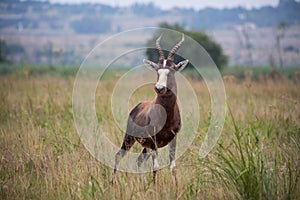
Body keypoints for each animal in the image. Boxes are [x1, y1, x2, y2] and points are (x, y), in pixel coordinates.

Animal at [112, 33, 188, 184]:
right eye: (157, 70)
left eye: (172, 70)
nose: (159, 88)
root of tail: (137, 107)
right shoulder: (154, 141)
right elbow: (156, 167)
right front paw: (154, 186)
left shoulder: (174, 139)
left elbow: (173, 167)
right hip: (130, 138)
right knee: (118, 156)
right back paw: (112, 183)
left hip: (145, 146)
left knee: (139, 160)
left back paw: (143, 184)